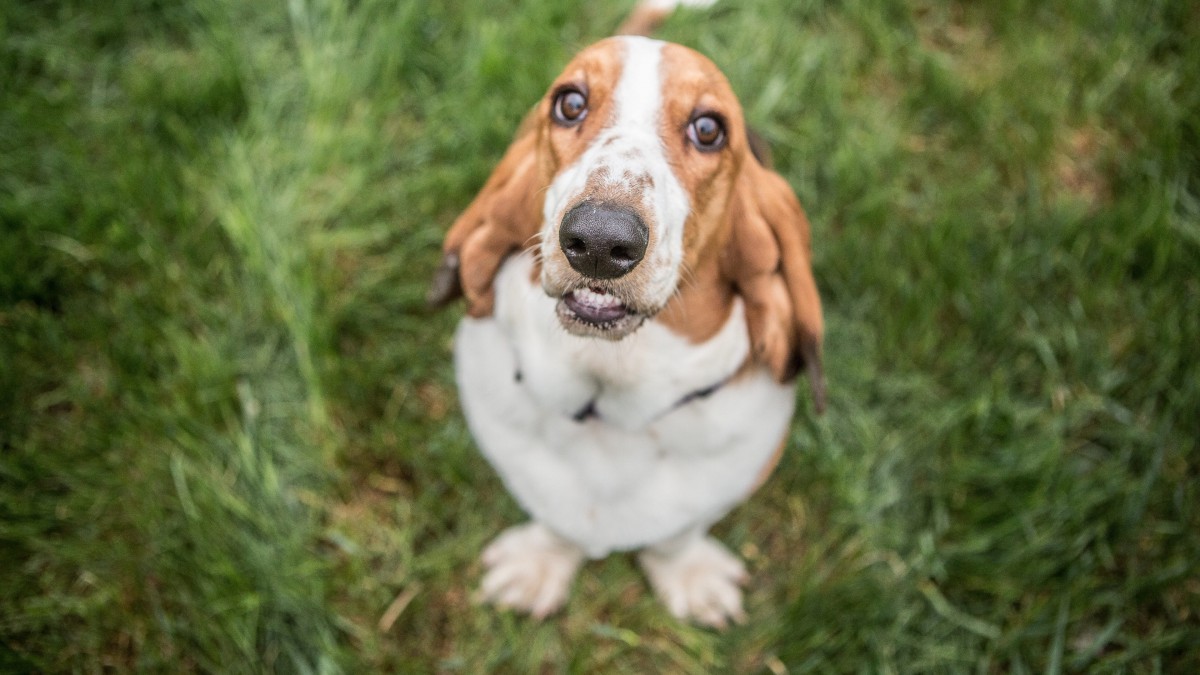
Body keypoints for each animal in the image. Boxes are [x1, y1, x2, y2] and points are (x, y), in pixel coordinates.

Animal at [429, 0, 825, 624]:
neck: (608, 400)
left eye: (709, 129)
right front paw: (538, 566)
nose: (598, 239)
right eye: (570, 103)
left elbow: (678, 535)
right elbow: (555, 522)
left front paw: (687, 577)